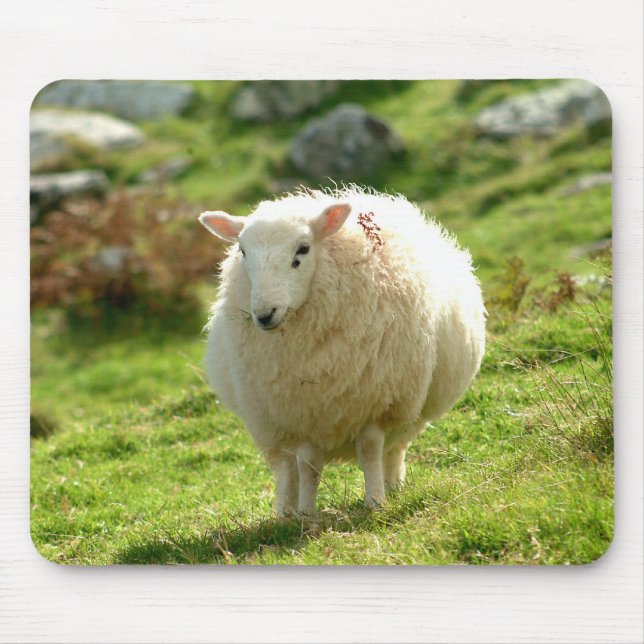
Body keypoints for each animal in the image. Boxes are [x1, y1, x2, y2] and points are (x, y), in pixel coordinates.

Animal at [199, 186, 486, 517]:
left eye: (303, 249)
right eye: (243, 252)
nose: (264, 314)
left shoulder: (374, 401)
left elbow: (370, 450)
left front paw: (376, 502)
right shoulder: (302, 412)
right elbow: (308, 465)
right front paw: (306, 514)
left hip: (408, 407)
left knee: (394, 448)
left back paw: (392, 486)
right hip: (271, 419)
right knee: (286, 466)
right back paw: (286, 511)